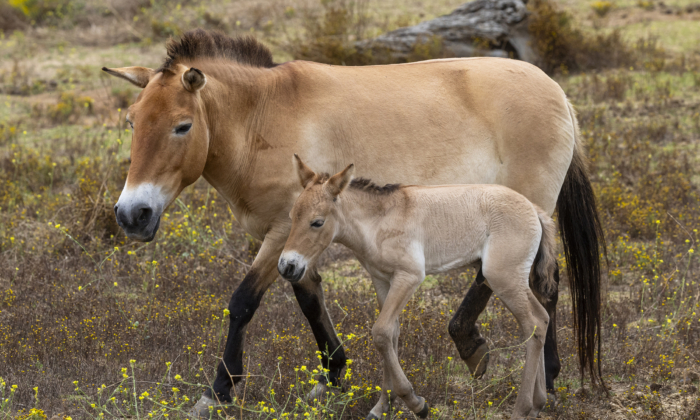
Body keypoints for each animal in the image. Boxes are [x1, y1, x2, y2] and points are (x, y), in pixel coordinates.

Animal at [278, 156, 556, 418]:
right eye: (291, 216)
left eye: (317, 222)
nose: (287, 266)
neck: (379, 221)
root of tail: (534, 210)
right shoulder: (383, 280)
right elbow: (391, 335)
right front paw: (382, 407)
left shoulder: (409, 277)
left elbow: (381, 332)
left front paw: (416, 403)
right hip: (513, 281)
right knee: (542, 320)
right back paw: (538, 403)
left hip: (503, 279)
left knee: (532, 324)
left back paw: (521, 409)